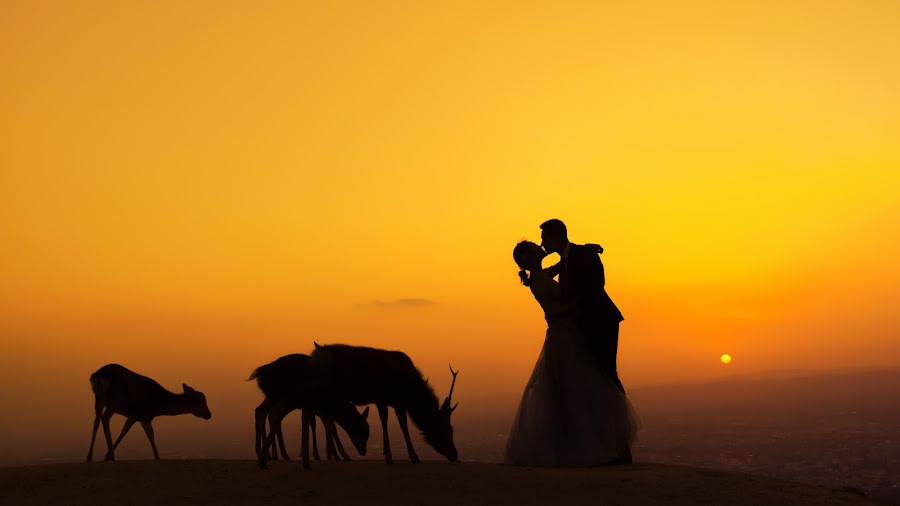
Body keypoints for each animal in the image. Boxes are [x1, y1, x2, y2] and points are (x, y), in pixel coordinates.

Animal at [85, 364, 213, 462]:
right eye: (200, 401)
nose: (209, 415)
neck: (157, 405)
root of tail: (99, 376)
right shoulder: (139, 415)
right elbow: (144, 434)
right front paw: (158, 457)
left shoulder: (139, 417)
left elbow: (131, 432)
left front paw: (106, 456)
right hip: (114, 402)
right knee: (105, 418)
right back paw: (112, 456)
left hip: (100, 399)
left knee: (96, 421)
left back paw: (89, 457)